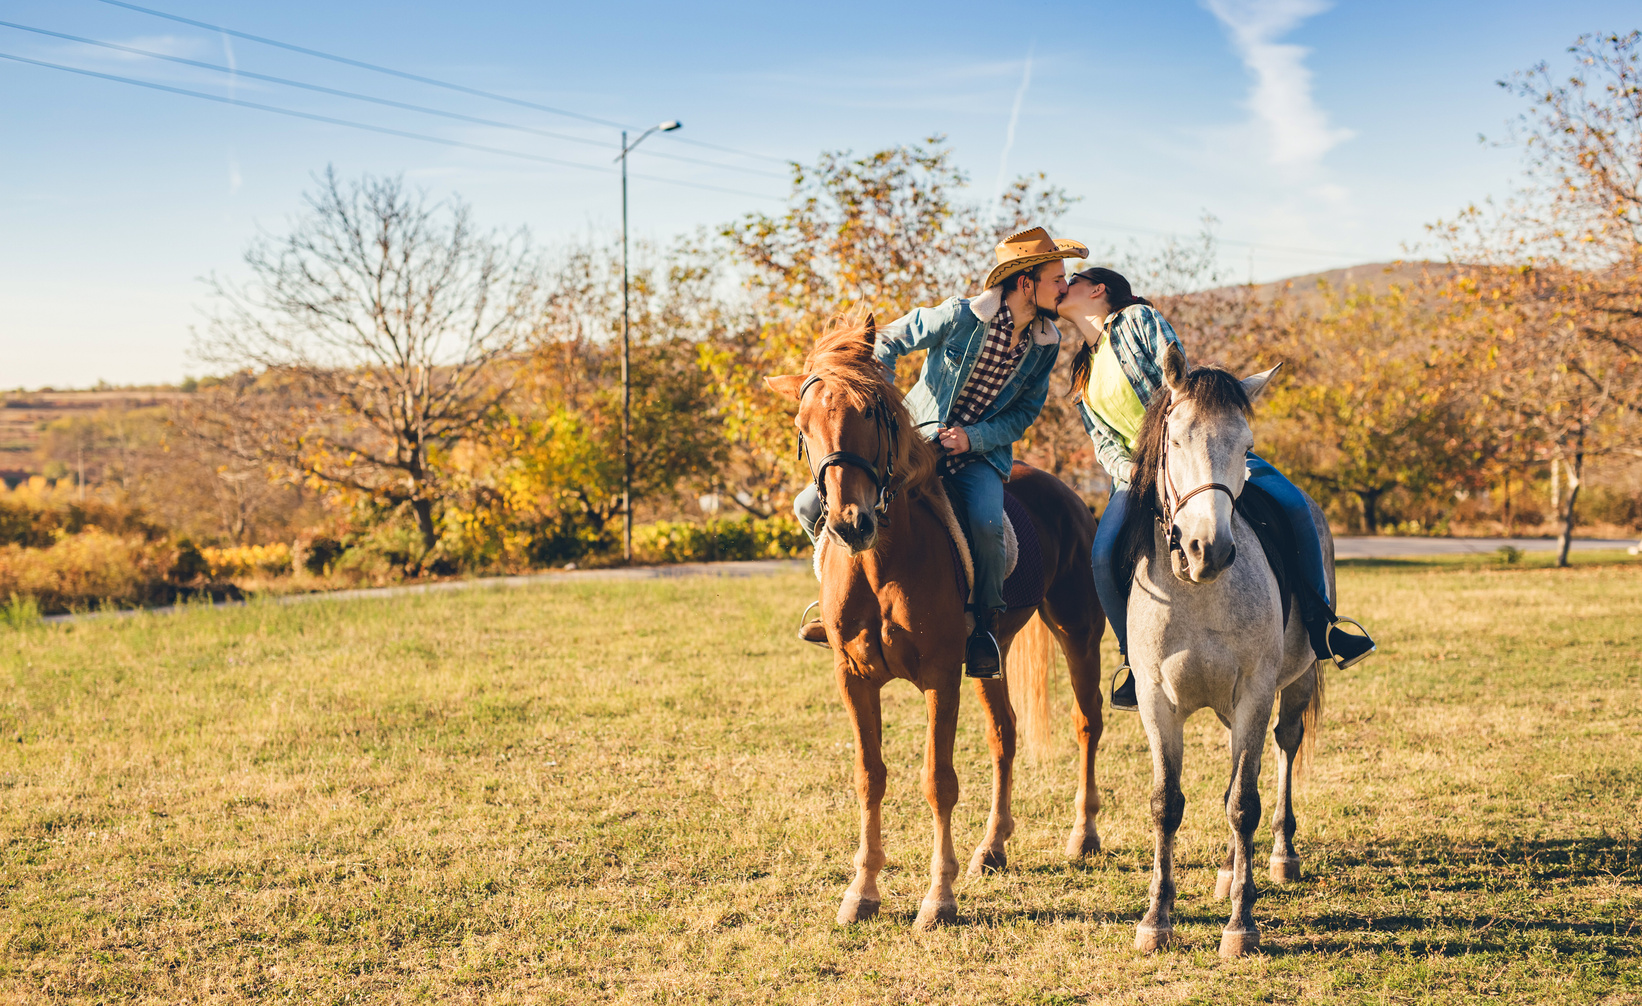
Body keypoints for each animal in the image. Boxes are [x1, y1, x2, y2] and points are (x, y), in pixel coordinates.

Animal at [764, 313, 1107, 930]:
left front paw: (938, 899)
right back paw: (992, 848)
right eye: (803, 426)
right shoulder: (854, 679)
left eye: (870, 413)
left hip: (1078, 632)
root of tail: (1063, 490)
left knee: (1087, 723)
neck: (882, 560)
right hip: (992, 658)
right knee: (1004, 736)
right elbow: (869, 776)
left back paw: (1083, 835)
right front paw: (862, 891)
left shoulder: (941, 679)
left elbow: (938, 782)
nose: (849, 524)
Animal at [1119, 342, 1325, 957]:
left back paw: (1278, 857)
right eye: (1174, 441)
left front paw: (1241, 924)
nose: (1208, 548)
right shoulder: (1156, 702)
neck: (1199, 591)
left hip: (1293, 686)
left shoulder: (1255, 694)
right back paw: (1231, 870)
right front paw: (1156, 917)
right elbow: (1167, 804)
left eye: (1247, 447)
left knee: (1282, 750)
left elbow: (1243, 804)